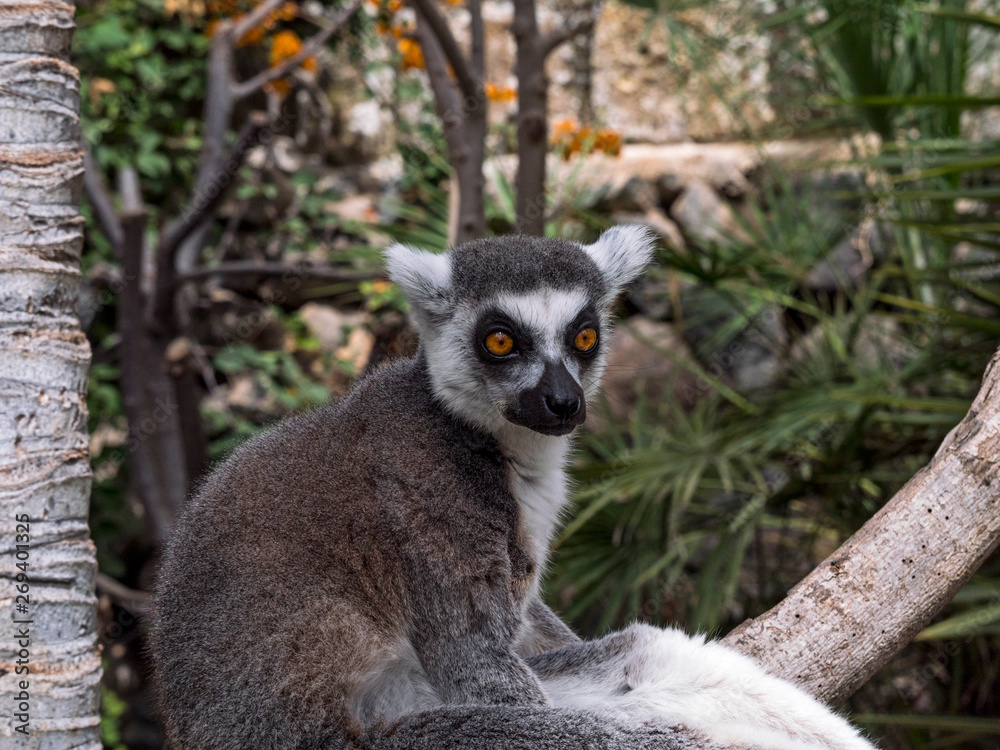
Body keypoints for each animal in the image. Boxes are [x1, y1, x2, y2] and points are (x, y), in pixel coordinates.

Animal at [152, 226, 876, 750]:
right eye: (500, 340)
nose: (562, 402)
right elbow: (475, 657)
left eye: (584, 335)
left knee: (654, 650)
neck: (492, 443)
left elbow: (540, 633)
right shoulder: (432, 502)